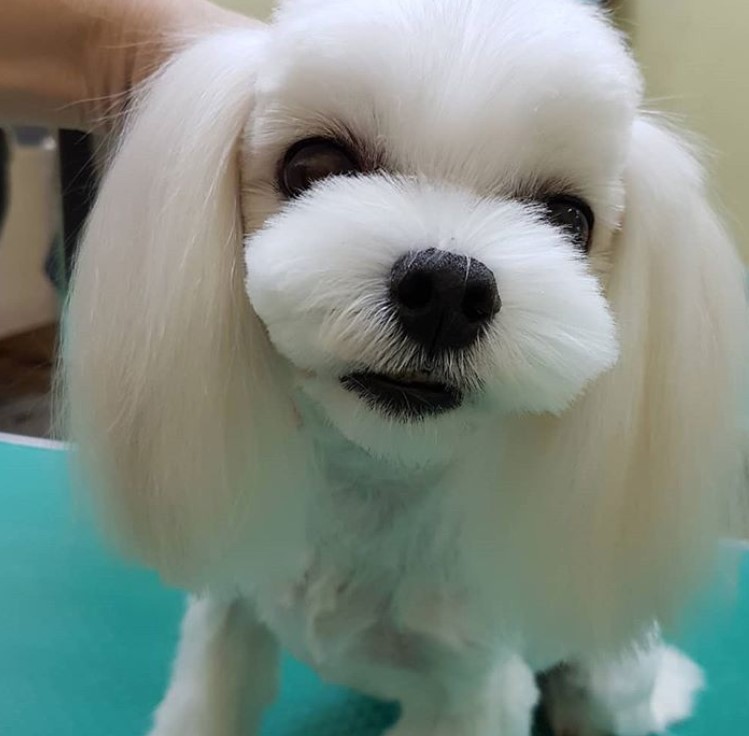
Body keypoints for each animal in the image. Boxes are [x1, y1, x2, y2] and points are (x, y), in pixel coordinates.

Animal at [64, 1, 748, 736]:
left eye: (570, 219)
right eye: (311, 163)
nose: (449, 288)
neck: (375, 485)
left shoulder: (473, 694)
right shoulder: (229, 617)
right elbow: (206, 704)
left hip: (605, 680)